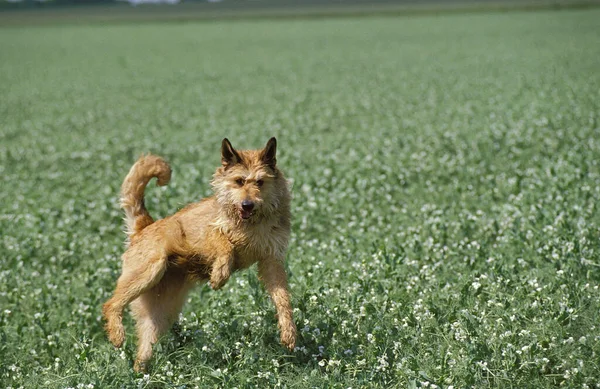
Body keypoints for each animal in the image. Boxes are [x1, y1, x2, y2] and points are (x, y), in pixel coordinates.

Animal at [102, 136, 296, 370]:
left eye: (260, 182)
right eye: (239, 181)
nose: (247, 204)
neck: (251, 224)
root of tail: (143, 227)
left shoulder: (271, 260)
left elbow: (283, 299)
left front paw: (289, 332)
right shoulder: (205, 234)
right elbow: (225, 244)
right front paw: (219, 276)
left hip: (160, 313)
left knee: (143, 349)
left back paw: (140, 373)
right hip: (147, 272)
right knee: (110, 304)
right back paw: (116, 335)